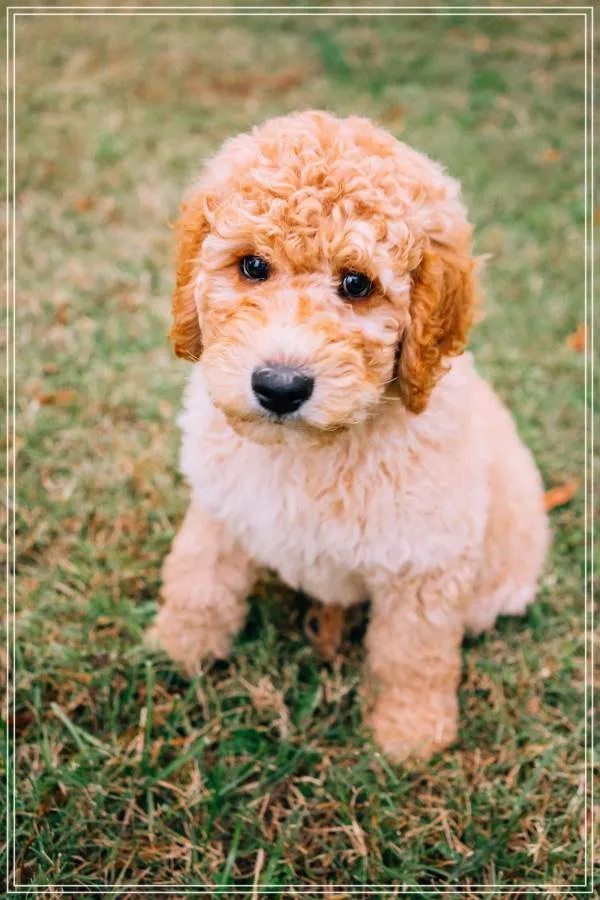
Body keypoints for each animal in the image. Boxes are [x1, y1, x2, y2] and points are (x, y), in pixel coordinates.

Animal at [148, 111, 549, 762]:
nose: (280, 387)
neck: (311, 450)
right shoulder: (221, 505)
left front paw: (410, 735)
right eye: (252, 266)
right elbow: (198, 579)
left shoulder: (425, 562)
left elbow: (413, 654)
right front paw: (178, 648)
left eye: (357, 284)